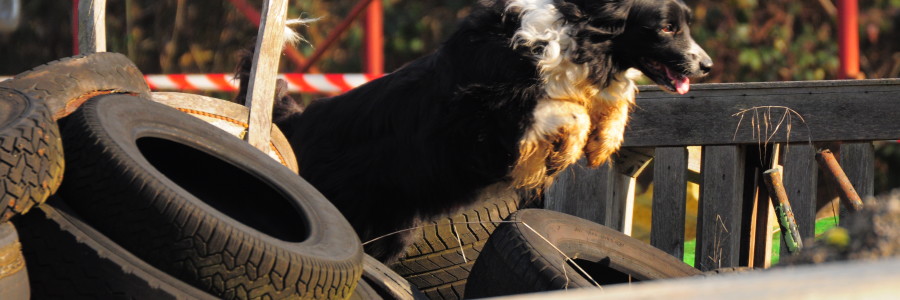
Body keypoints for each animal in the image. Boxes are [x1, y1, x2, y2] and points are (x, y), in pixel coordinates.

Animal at [268, 0, 712, 262]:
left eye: (685, 25)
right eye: (667, 27)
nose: (707, 66)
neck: (577, 34)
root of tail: (293, 123)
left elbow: (615, 95)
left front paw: (604, 141)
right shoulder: (486, 117)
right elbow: (565, 111)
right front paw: (569, 149)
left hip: (392, 228)